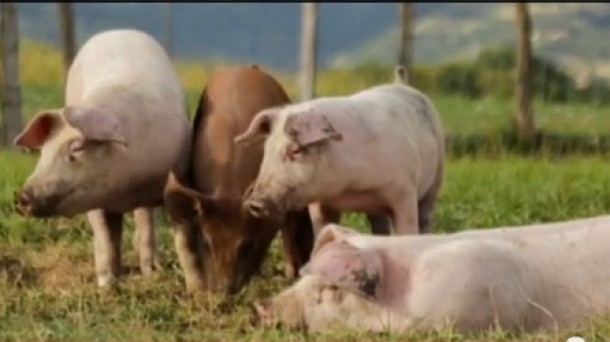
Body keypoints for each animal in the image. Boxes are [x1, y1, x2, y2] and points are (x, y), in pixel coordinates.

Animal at [12, 28, 190, 286]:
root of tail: (116, 30)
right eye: (44, 151)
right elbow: (106, 239)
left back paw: (151, 270)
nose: (21, 196)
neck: (127, 189)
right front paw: (108, 285)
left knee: (145, 218)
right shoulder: (94, 199)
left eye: (76, 148)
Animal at [233, 67, 442, 238]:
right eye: (266, 149)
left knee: (426, 217)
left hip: (436, 179)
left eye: (297, 150)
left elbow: (408, 230)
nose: (254, 202)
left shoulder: (404, 192)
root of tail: (401, 84)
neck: (350, 187)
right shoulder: (319, 204)